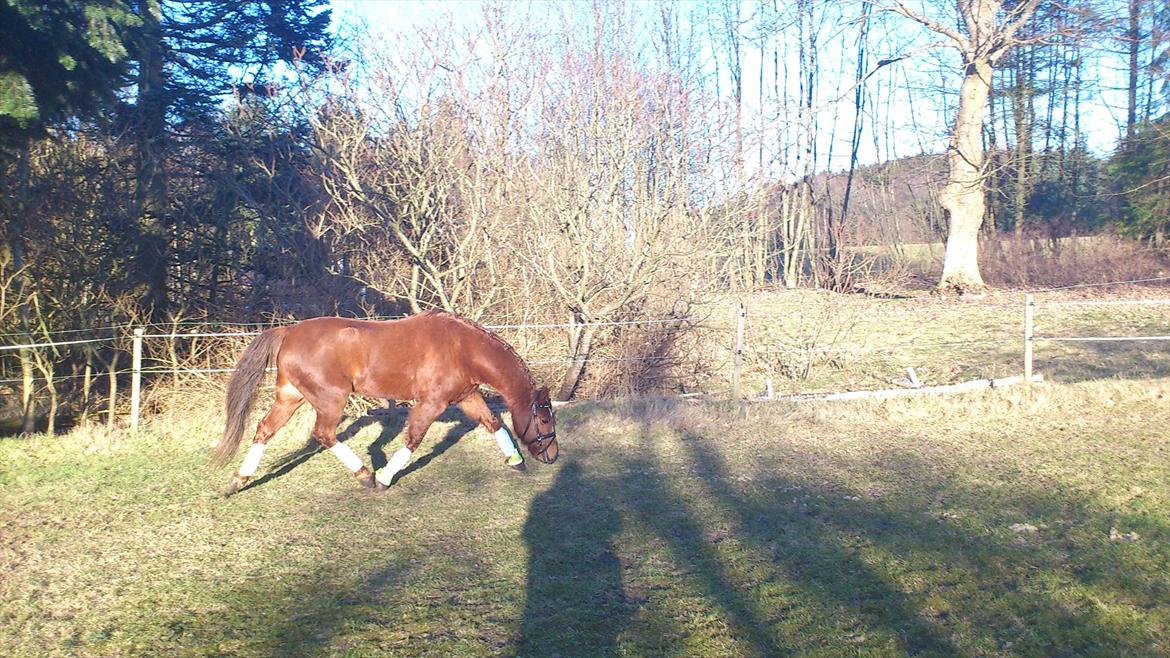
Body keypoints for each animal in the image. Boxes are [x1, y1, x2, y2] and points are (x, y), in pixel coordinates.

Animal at [214, 311, 556, 491]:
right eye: (544, 419)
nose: (551, 455)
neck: (463, 348)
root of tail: (288, 332)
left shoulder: (466, 396)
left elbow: (493, 422)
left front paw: (516, 461)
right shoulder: (432, 403)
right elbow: (413, 439)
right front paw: (383, 478)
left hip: (290, 398)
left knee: (264, 430)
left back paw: (239, 480)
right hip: (330, 400)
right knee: (324, 435)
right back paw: (365, 475)